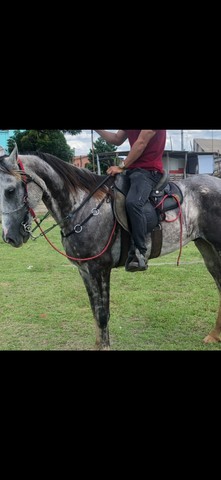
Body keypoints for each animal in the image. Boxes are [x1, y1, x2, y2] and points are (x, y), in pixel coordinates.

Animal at [0, 145, 221, 348]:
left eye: (10, 190)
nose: (9, 237)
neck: (82, 207)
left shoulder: (100, 270)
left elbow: (103, 315)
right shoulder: (85, 271)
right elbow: (95, 313)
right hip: (206, 247)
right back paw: (214, 335)